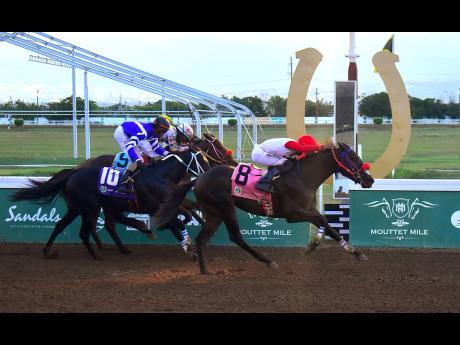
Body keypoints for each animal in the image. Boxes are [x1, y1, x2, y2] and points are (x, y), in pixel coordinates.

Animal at [155, 141, 374, 272]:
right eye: (353, 158)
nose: (370, 180)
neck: (304, 177)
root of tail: (198, 179)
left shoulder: (308, 210)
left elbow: (325, 223)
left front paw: (321, 244)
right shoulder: (293, 214)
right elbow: (323, 220)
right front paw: (349, 250)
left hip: (213, 212)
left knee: (202, 238)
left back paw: (204, 270)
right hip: (225, 208)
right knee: (236, 237)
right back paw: (268, 261)